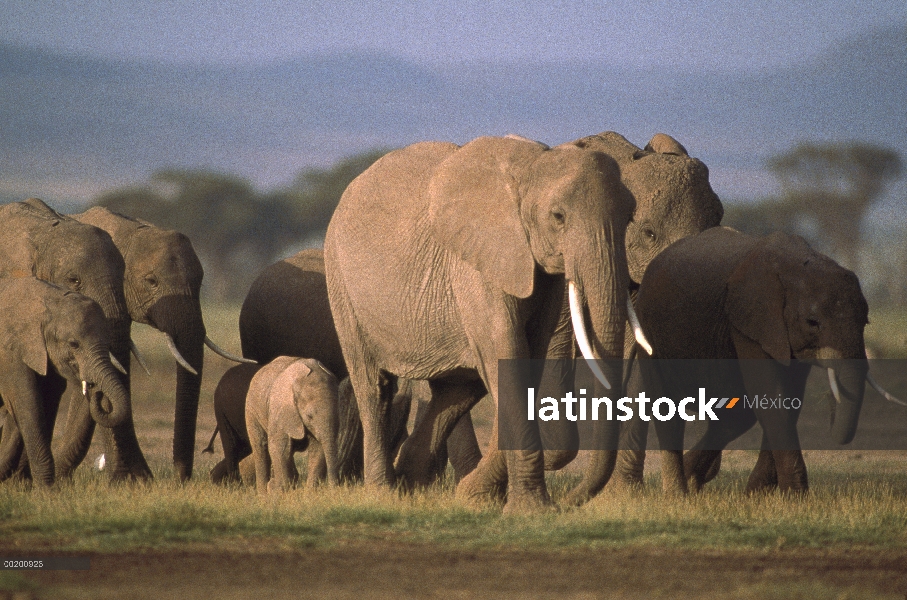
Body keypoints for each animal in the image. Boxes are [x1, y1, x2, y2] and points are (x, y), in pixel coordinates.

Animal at [326, 136, 640, 510]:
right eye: (558, 217)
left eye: (630, 218)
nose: (569, 502)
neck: (532, 167)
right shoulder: (477, 265)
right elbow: (506, 353)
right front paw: (529, 510)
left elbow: (530, 358)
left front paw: (474, 497)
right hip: (342, 284)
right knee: (374, 384)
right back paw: (384, 494)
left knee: (457, 391)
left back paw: (411, 484)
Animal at [632, 227, 872, 494]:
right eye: (812, 322)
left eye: (866, 321)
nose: (831, 402)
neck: (796, 263)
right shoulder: (752, 321)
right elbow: (770, 391)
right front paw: (794, 496)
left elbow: (789, 395)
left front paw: (758, 495)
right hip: (648, 329)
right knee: (667, 409)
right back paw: (678, 493)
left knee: (735, 416)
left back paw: (692, 480)